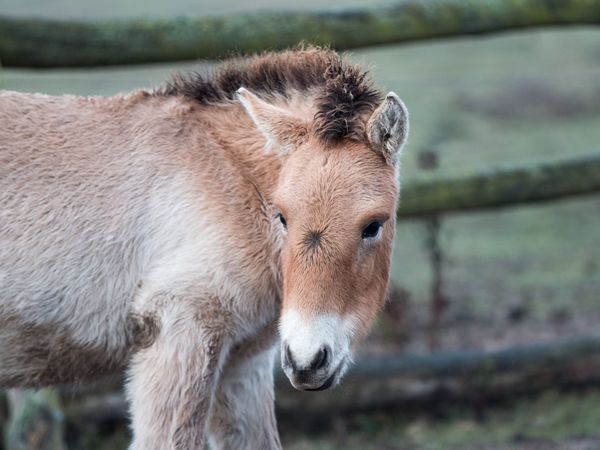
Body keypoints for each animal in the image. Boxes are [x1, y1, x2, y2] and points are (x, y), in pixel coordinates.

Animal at [0, 47, 408, 448]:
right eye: (282, 216)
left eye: (373, 225)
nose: (308, 362)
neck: (230, 172)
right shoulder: (181, 336)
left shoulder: (244, 364)